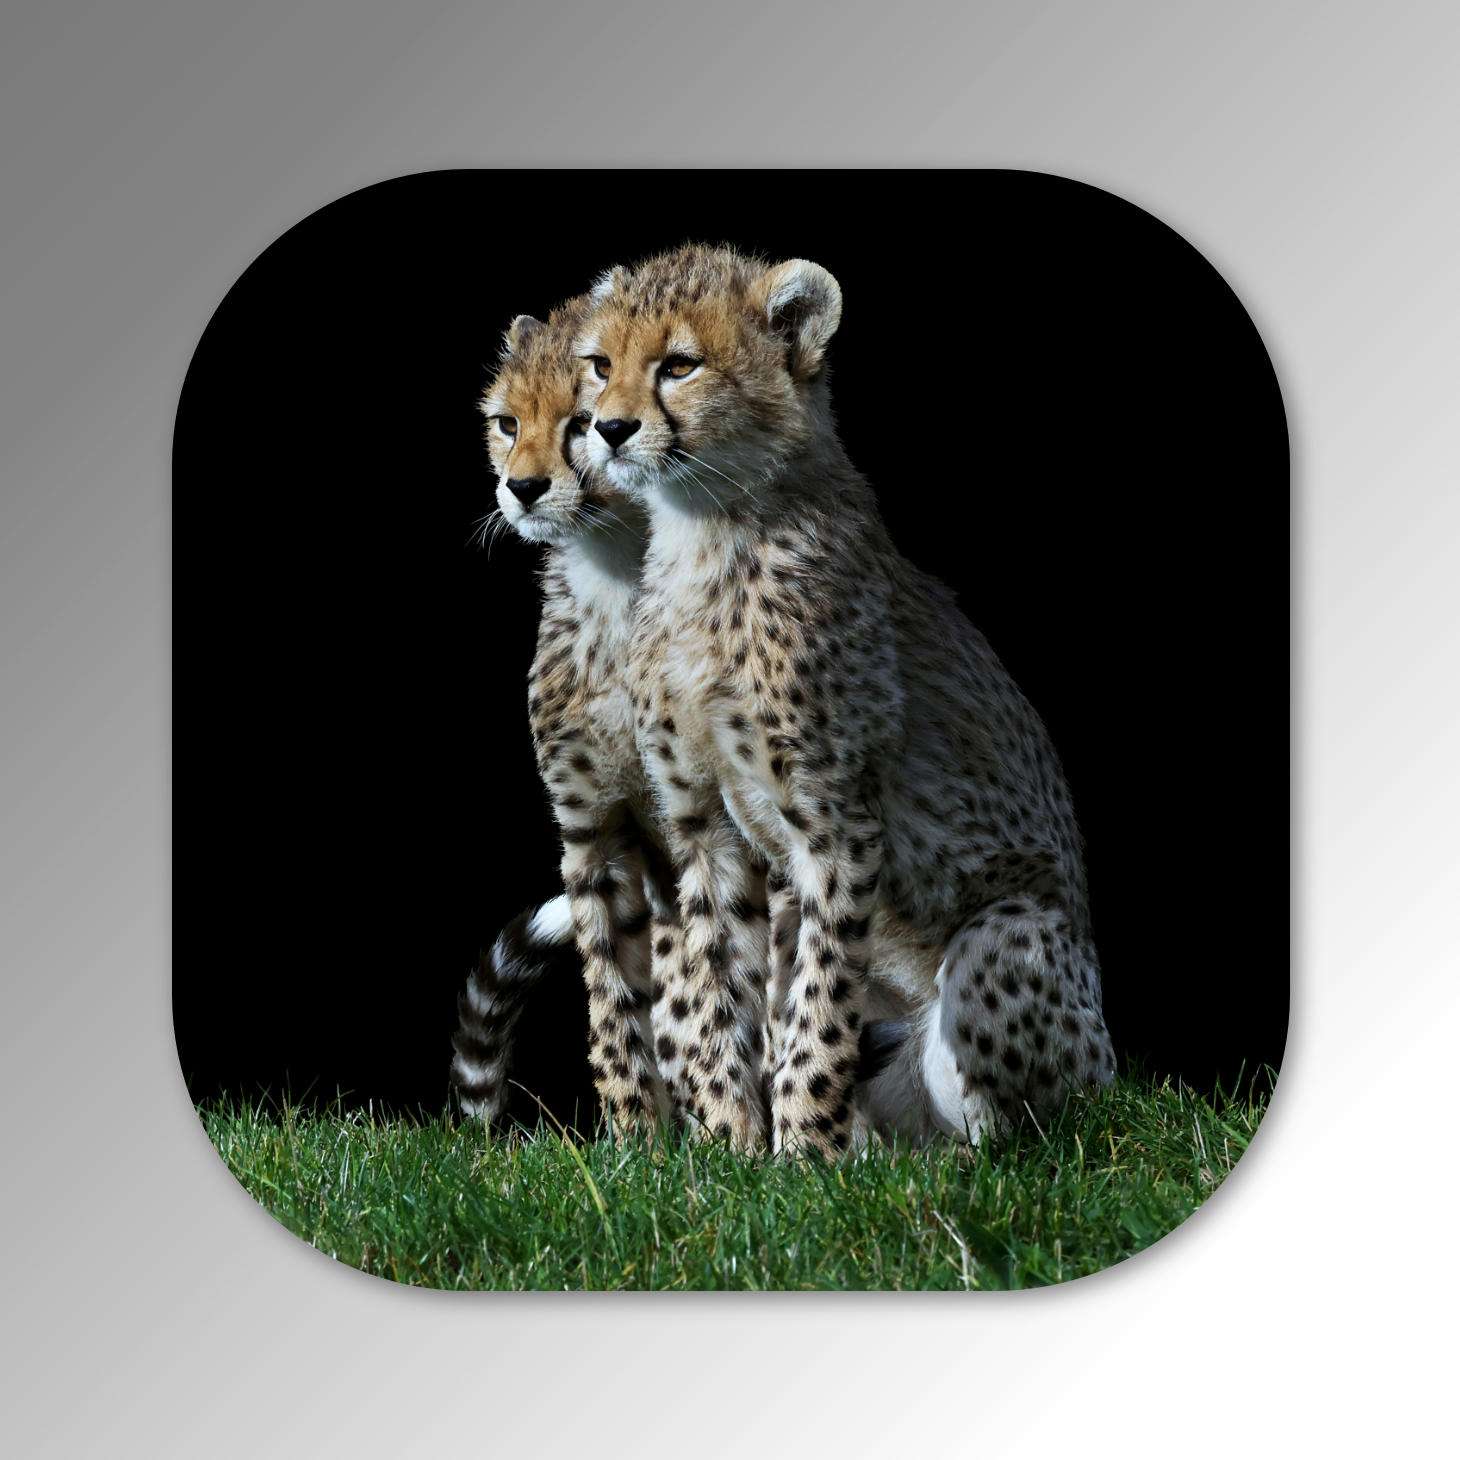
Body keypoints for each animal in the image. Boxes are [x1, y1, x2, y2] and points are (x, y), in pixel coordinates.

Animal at [577, 244, 1115, 1159]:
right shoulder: (707, 827)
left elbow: (818, 1004)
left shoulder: (837, 824)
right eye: (600, 365)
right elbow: (716, 984)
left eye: (678, 365)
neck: (705, 530)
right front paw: (730, 1147)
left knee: (1030, 1134)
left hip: (1004, 944)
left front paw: (803, 1155)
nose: (607, 429)